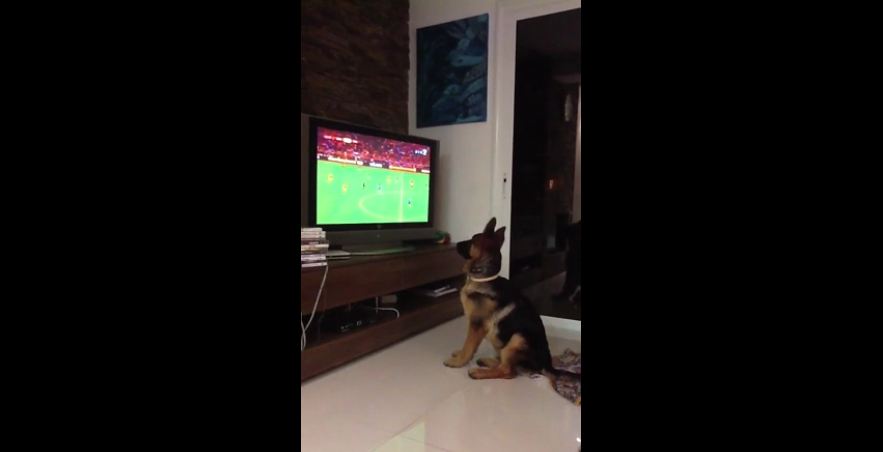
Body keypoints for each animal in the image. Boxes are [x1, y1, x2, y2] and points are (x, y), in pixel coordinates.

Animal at [446, 217, 564, 384]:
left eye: (472, 241)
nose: (455, 244)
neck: (484, 279)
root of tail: (547, 365)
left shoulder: (477, 325)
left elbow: (468, 345)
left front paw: (458, 362)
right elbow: (469, 346)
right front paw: (460, 355)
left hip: (518, 338)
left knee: (508, 371)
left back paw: (479, 372)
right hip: (499, 339)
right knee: (506, 363)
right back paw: (487, 361)